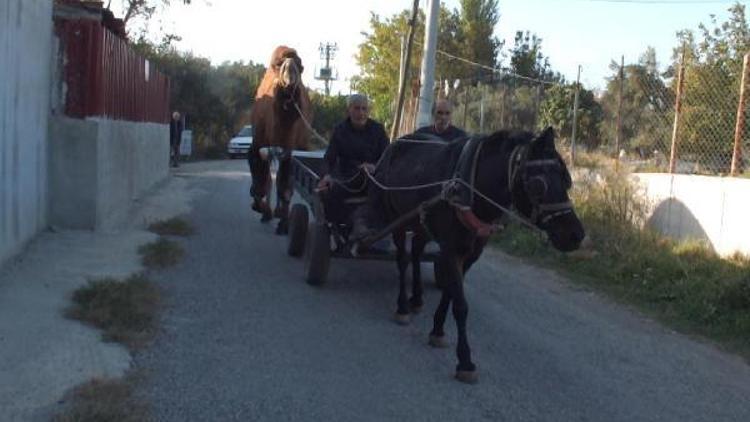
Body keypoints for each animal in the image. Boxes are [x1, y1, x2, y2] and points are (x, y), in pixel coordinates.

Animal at [366, 126, 588, 382]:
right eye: (538, 185)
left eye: (566, 179)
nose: (575, 235)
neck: (471, 188)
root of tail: (397, 144)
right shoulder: (451, 249)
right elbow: (461, 305)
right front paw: (464, 360)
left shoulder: (471, 253)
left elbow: (451, 293)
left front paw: (438, 330)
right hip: (397, 220)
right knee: (403, 260)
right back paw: (402, 306)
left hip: (420, 220)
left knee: (416, 251)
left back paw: (417, 298)